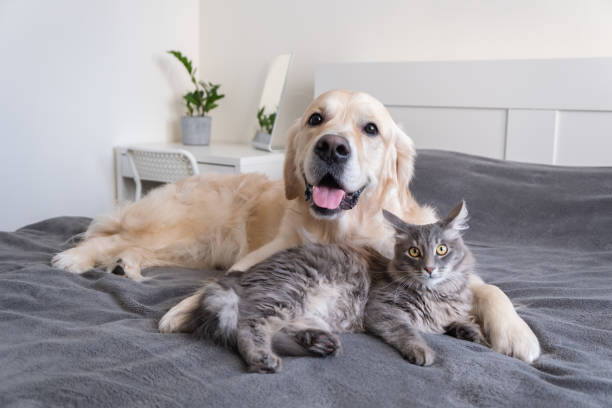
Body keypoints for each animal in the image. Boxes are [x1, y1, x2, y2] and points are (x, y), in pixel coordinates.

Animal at [364, 202, 488, 366]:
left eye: (441, 249)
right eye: (414, 251)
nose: (429, 268)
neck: (435, 295)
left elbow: (454, 321)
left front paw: (473, 332)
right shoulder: (381, 306)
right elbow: (404, 329)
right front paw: (420, 350)